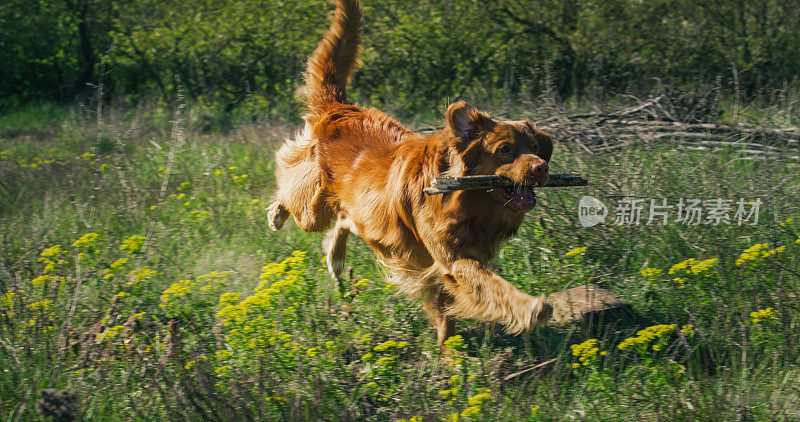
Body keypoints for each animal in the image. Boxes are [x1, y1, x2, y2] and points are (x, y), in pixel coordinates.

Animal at [268, 0, 552, 346]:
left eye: (535, 147)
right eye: (505, 150)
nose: (542, 168)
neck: (465, 200)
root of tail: (341, 109)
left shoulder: (443, 264)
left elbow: (450, 310)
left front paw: (451, 351)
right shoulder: (451, 260)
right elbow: (492, 287)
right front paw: (530, 308)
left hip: (361, 211)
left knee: (344, 221)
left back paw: (335, 260)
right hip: (313, 211)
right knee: (291, 192)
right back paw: (277, 213)